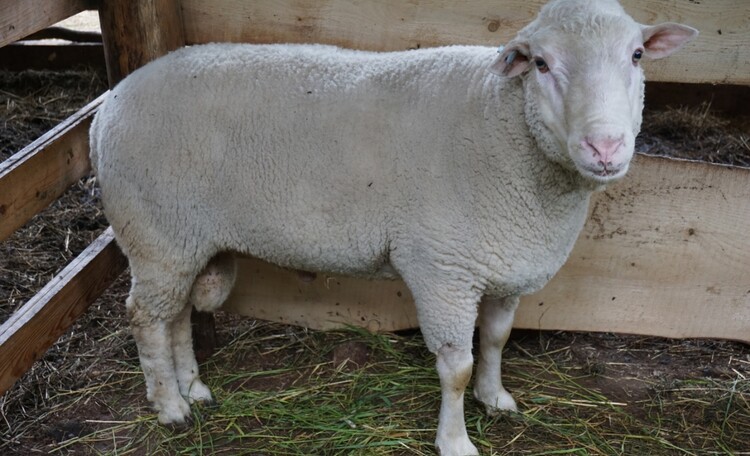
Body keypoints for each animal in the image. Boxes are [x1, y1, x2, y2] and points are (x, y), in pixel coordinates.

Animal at [89, 0, 700, 452]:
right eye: (542, 64)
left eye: (638, 55)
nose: (606, 148)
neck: (503, 125)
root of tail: (107, 105)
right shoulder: (442, 268)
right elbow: (456, 366)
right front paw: (455, 441)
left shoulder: (508, 261)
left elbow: (497, 339)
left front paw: (496, 399)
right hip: (155, 232)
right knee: (145, 318)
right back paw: (169, 407)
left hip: (183, 240)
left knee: (175, 315)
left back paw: (194, 388)